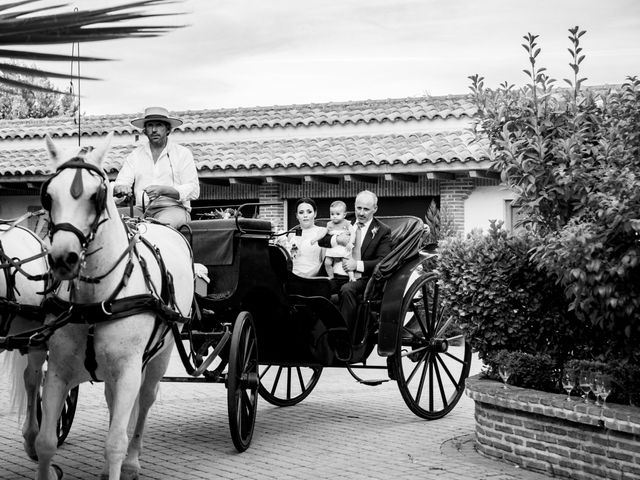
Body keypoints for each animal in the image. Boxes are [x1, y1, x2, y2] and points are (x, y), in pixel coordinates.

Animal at [33, 132, 192, 480]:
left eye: (96, 195)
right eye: (48, 196)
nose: (63, 259)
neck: (97, 300)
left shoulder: (128, 370)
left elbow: (115, 443)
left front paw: (122, 460)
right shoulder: (59, 371)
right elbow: (45, 442)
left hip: (160, 355)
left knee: (145, 402)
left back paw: (132, 461)